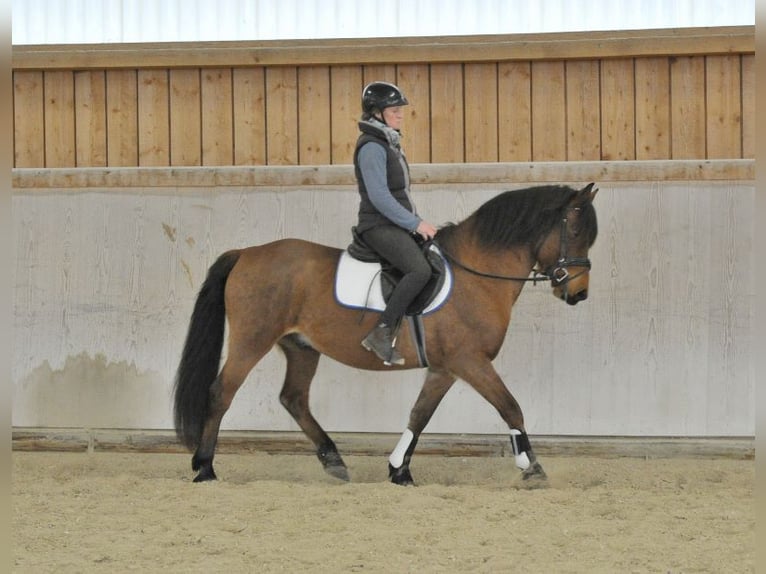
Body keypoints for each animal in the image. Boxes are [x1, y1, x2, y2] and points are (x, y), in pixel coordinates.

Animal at [174, 183, 600, 486]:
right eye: (575, 229)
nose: (579, 293)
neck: (476, 273)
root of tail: (246, 252)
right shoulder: (470, 361)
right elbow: (510, 406)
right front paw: (532, 467)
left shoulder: (445, 368)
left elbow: (419, 414)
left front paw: (399, 470)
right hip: (252, 340)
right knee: (221, 393)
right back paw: (205, 468)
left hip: (301, 347)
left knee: (293, 399)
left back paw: (334, 461)